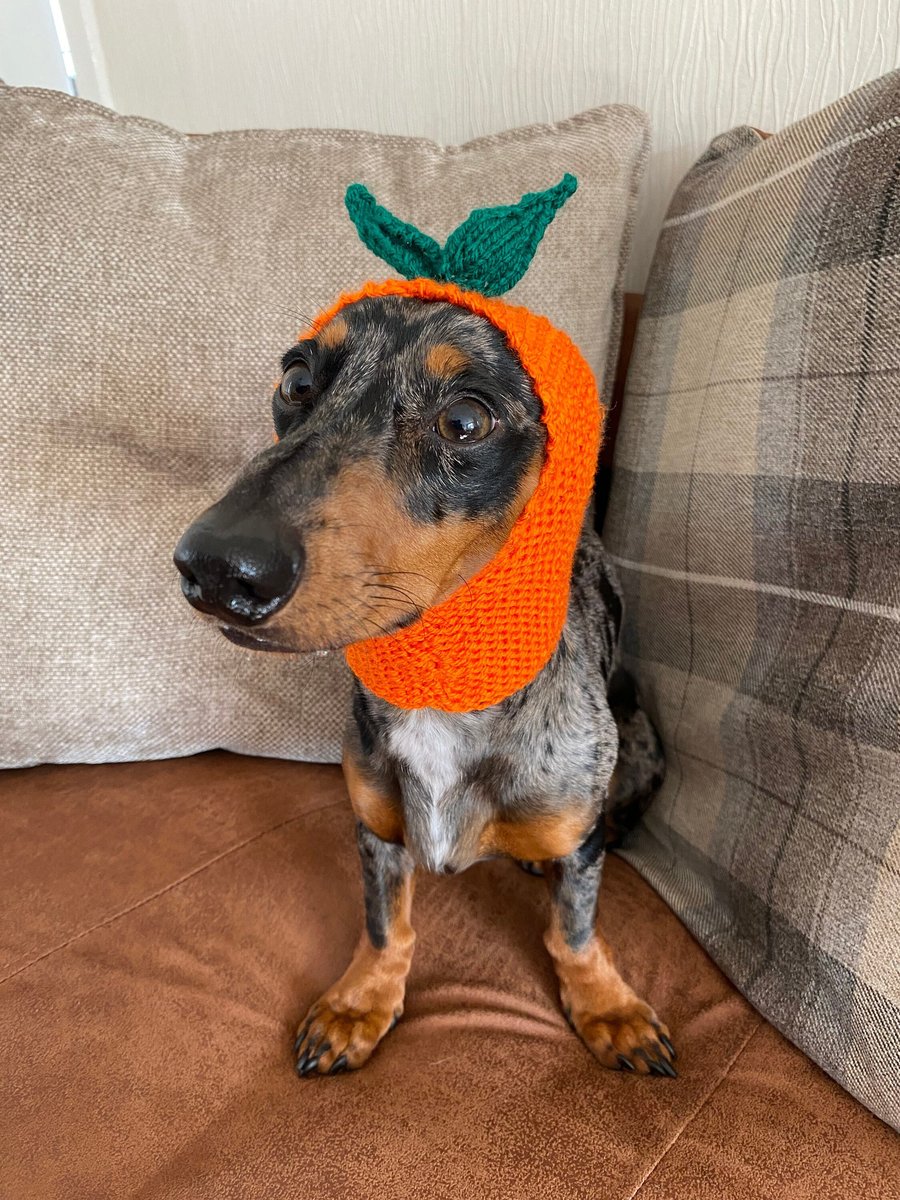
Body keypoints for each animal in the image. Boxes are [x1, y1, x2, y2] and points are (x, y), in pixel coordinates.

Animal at [172, 290, 672, 1080]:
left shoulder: (578, 843)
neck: (444, 691)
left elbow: (574, 933)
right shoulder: (376, 828)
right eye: (296, 382)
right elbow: (386, 927)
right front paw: (360, 1004)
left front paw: (608, 1007)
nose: (217, 569)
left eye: (465, 420)